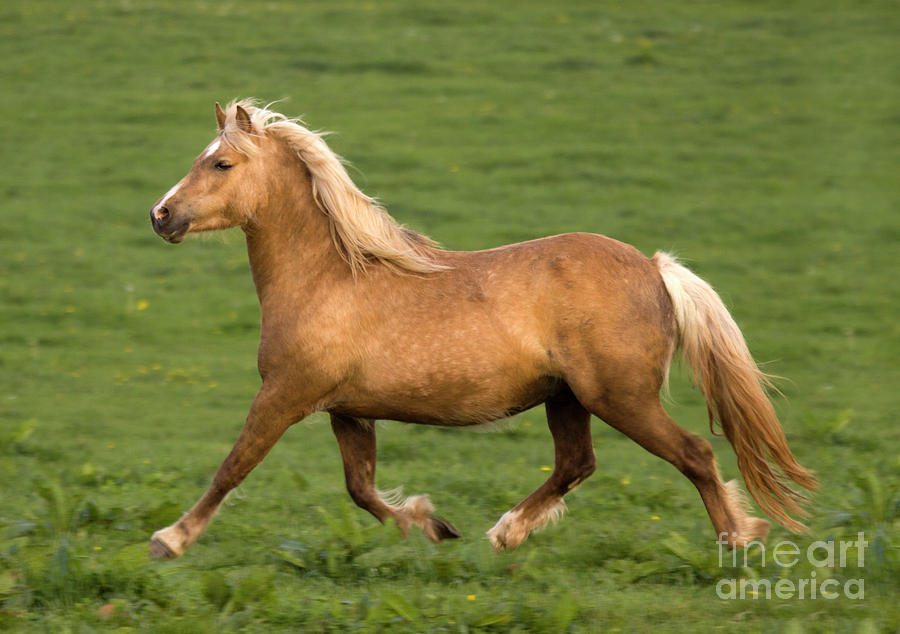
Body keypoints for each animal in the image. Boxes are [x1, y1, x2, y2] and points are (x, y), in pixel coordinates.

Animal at [148, 99, 816, 556]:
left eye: (221, 162)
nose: (161, 215)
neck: (330, 279)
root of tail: (655, 268)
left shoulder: (285, 395)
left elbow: (233, 466)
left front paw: (169, 539)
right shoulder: (347, 411)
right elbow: (361, 488)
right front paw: (432, 526)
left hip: (619, 397)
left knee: (694, 453)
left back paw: (737, 542)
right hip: (568, 398)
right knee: (576, 464)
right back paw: (505, 534)